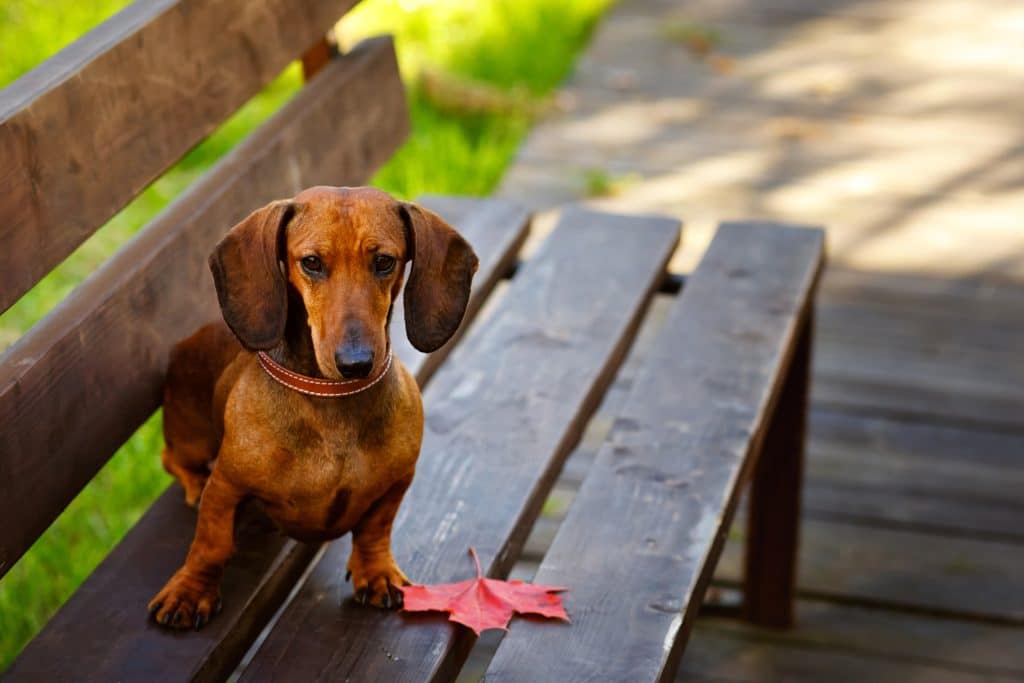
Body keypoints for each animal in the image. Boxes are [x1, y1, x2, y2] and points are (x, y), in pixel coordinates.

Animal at [148, 185, 479, 630]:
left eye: (384, 261)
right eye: (311, 263)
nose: (356, 363)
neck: (332, 403)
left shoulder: (396, 483)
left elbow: (375, 530)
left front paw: (376, 572)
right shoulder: (227, 486)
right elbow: (211, 545)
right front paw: (190, 592)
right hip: (192, 440)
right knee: (173, 460)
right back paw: (193, 485)